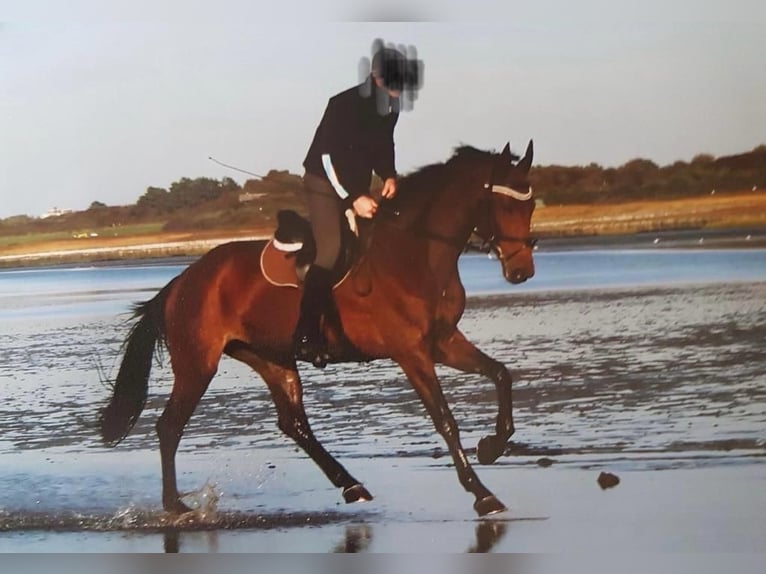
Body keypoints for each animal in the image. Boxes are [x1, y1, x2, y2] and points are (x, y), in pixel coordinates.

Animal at [99, 139, 536, 517]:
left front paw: (492, 446)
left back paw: (352, 485)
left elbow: (501, 374)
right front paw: (481, 493)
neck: (416, 254)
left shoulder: (443, 342)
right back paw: (175, 506)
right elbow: (445, 420)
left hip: (270, 357)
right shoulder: (411, 352)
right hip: (197, 364)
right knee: (169, 427)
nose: (521, 271)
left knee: (293, 424)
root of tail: (182, 281)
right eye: (501, 204)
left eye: (530, 204)